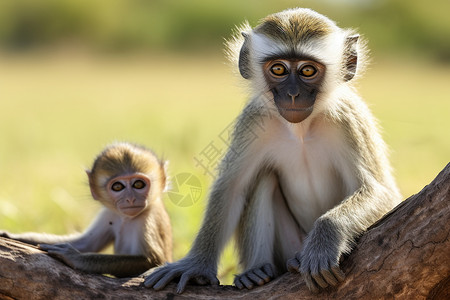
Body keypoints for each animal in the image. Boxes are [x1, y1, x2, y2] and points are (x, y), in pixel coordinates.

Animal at [0, 142, 172, 278]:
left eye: (138, 184)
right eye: (118, 187)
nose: (130, 199)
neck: (127, 219)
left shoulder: (150, 218)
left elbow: (152, 261)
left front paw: (74, 257)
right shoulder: (109, 213)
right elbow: (85, 243)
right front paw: (10, 235)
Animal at [144, 7, 400, 292]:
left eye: (307, 70)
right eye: (278, 69)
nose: (293, 94)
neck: (301, 131)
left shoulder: (349, 119)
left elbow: (382, 193)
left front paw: (324, 242)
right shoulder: (254, 120)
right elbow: (231, 188)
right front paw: (195, 265)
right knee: (264, 179)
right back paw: (258, 271)